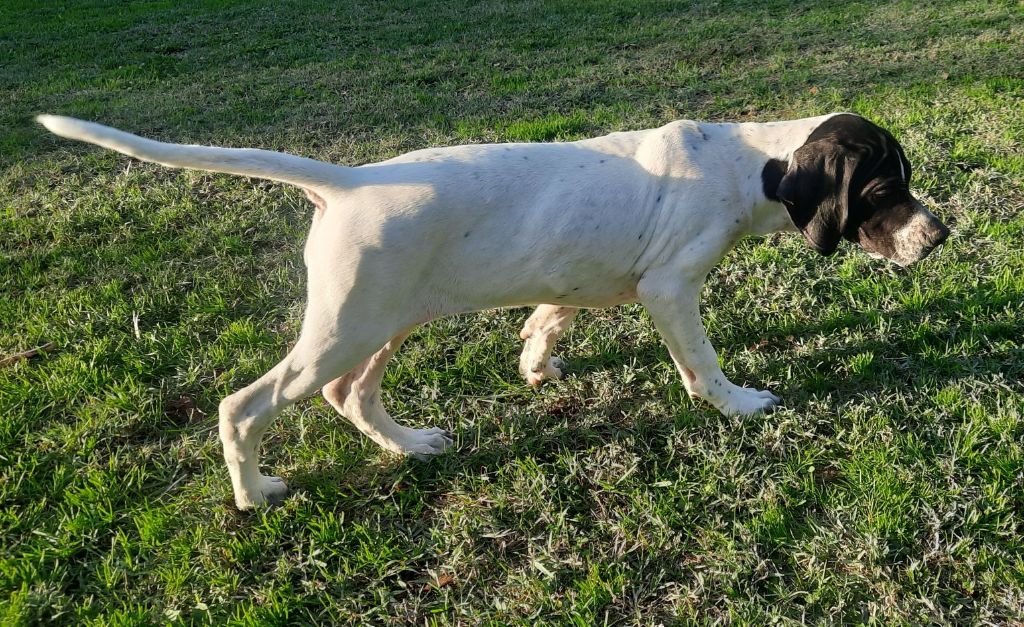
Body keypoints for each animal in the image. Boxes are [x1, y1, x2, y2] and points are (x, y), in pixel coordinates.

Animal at [37, 112, 949, 509]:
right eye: (883, 191)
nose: (939, 235)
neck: (747, 159)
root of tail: (348, 182)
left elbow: (550, 314)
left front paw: (537, 359)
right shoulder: (671, 288)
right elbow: (703, 365)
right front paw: (739, 402)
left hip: (385, 320)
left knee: (349, 394)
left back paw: (409, 445)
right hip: (346, 326)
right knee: (245, 405)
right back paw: (254, 490)